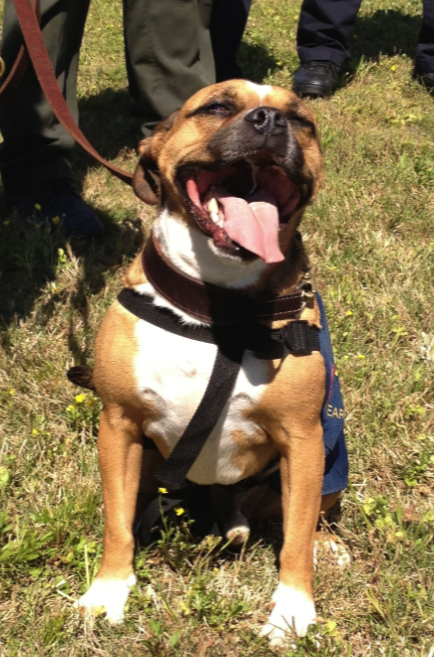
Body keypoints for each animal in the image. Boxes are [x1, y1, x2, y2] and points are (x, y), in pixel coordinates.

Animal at [74, 79, 340, 644]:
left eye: (300, 119)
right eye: (217, 106)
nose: (270, 121)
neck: (218, 305)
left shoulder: (303, 439)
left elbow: (295, 537)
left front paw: (292, 610)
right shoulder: (119, 427)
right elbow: (115, 522)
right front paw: (108, 591)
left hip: (330, 458)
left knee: (311, 518)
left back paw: (323, 542)